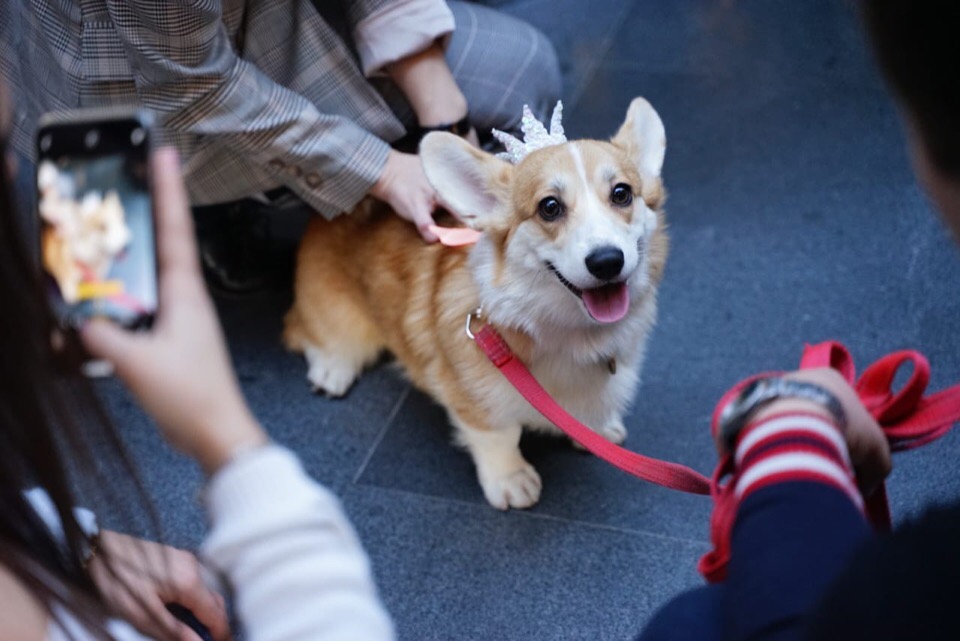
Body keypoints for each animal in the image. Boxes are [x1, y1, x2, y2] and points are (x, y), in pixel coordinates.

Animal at [286, 97, 668, 508]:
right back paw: (331, 369)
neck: (569, 332)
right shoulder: (472, 394)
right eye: (549, 207)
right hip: (338, 318)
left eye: (622, 193)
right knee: (312, 332)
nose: (606, 261)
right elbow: (498, 435)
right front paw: (510, 478)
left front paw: (597, 428)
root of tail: (325, 214)